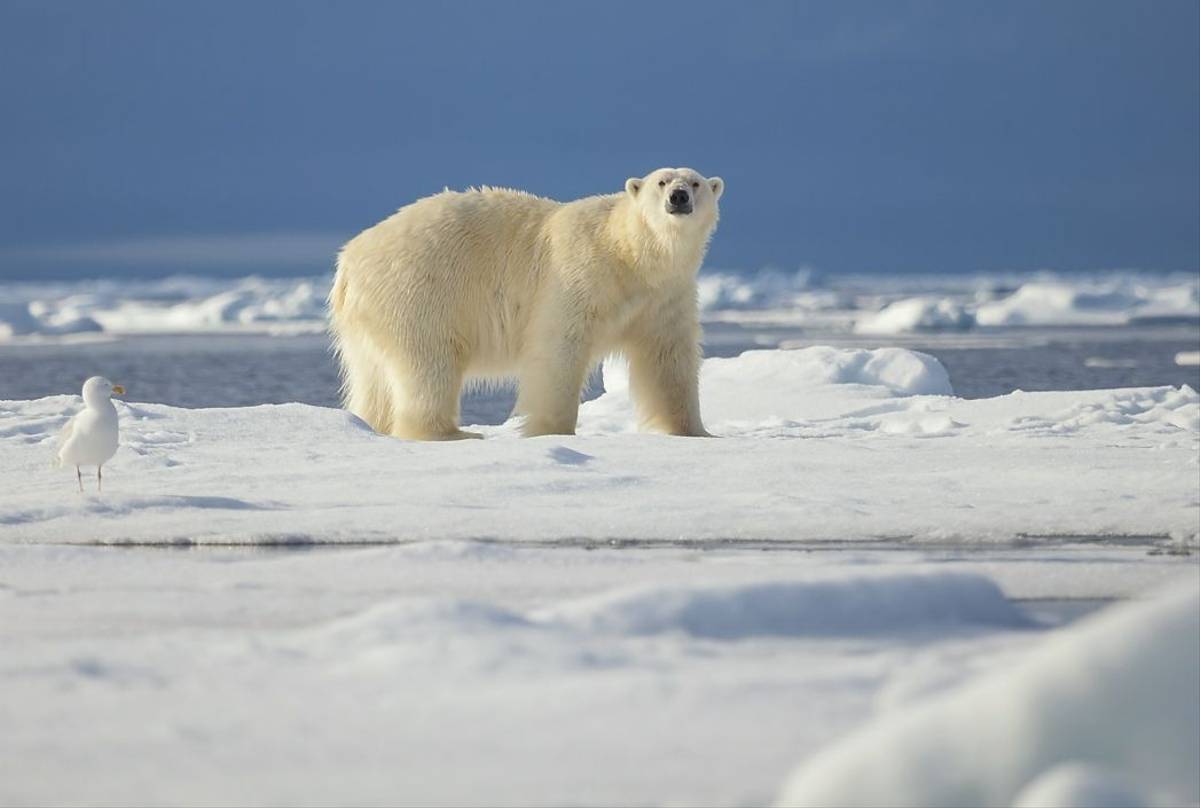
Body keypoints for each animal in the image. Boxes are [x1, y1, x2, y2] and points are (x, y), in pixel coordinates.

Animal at [328, 167, 724, 440]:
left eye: (695, 183)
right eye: (662, 181)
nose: (678, 197)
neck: (629, 254)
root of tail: (349, 260)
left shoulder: (665, 295)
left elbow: (668, 359)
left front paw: (695, 431)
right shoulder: (578, 274)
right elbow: (558, 348)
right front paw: (552, 429)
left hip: (371, 320)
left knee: (372, 377)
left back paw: (371, 424)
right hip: (419, 292)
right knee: (429, 363)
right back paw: (450, 432)